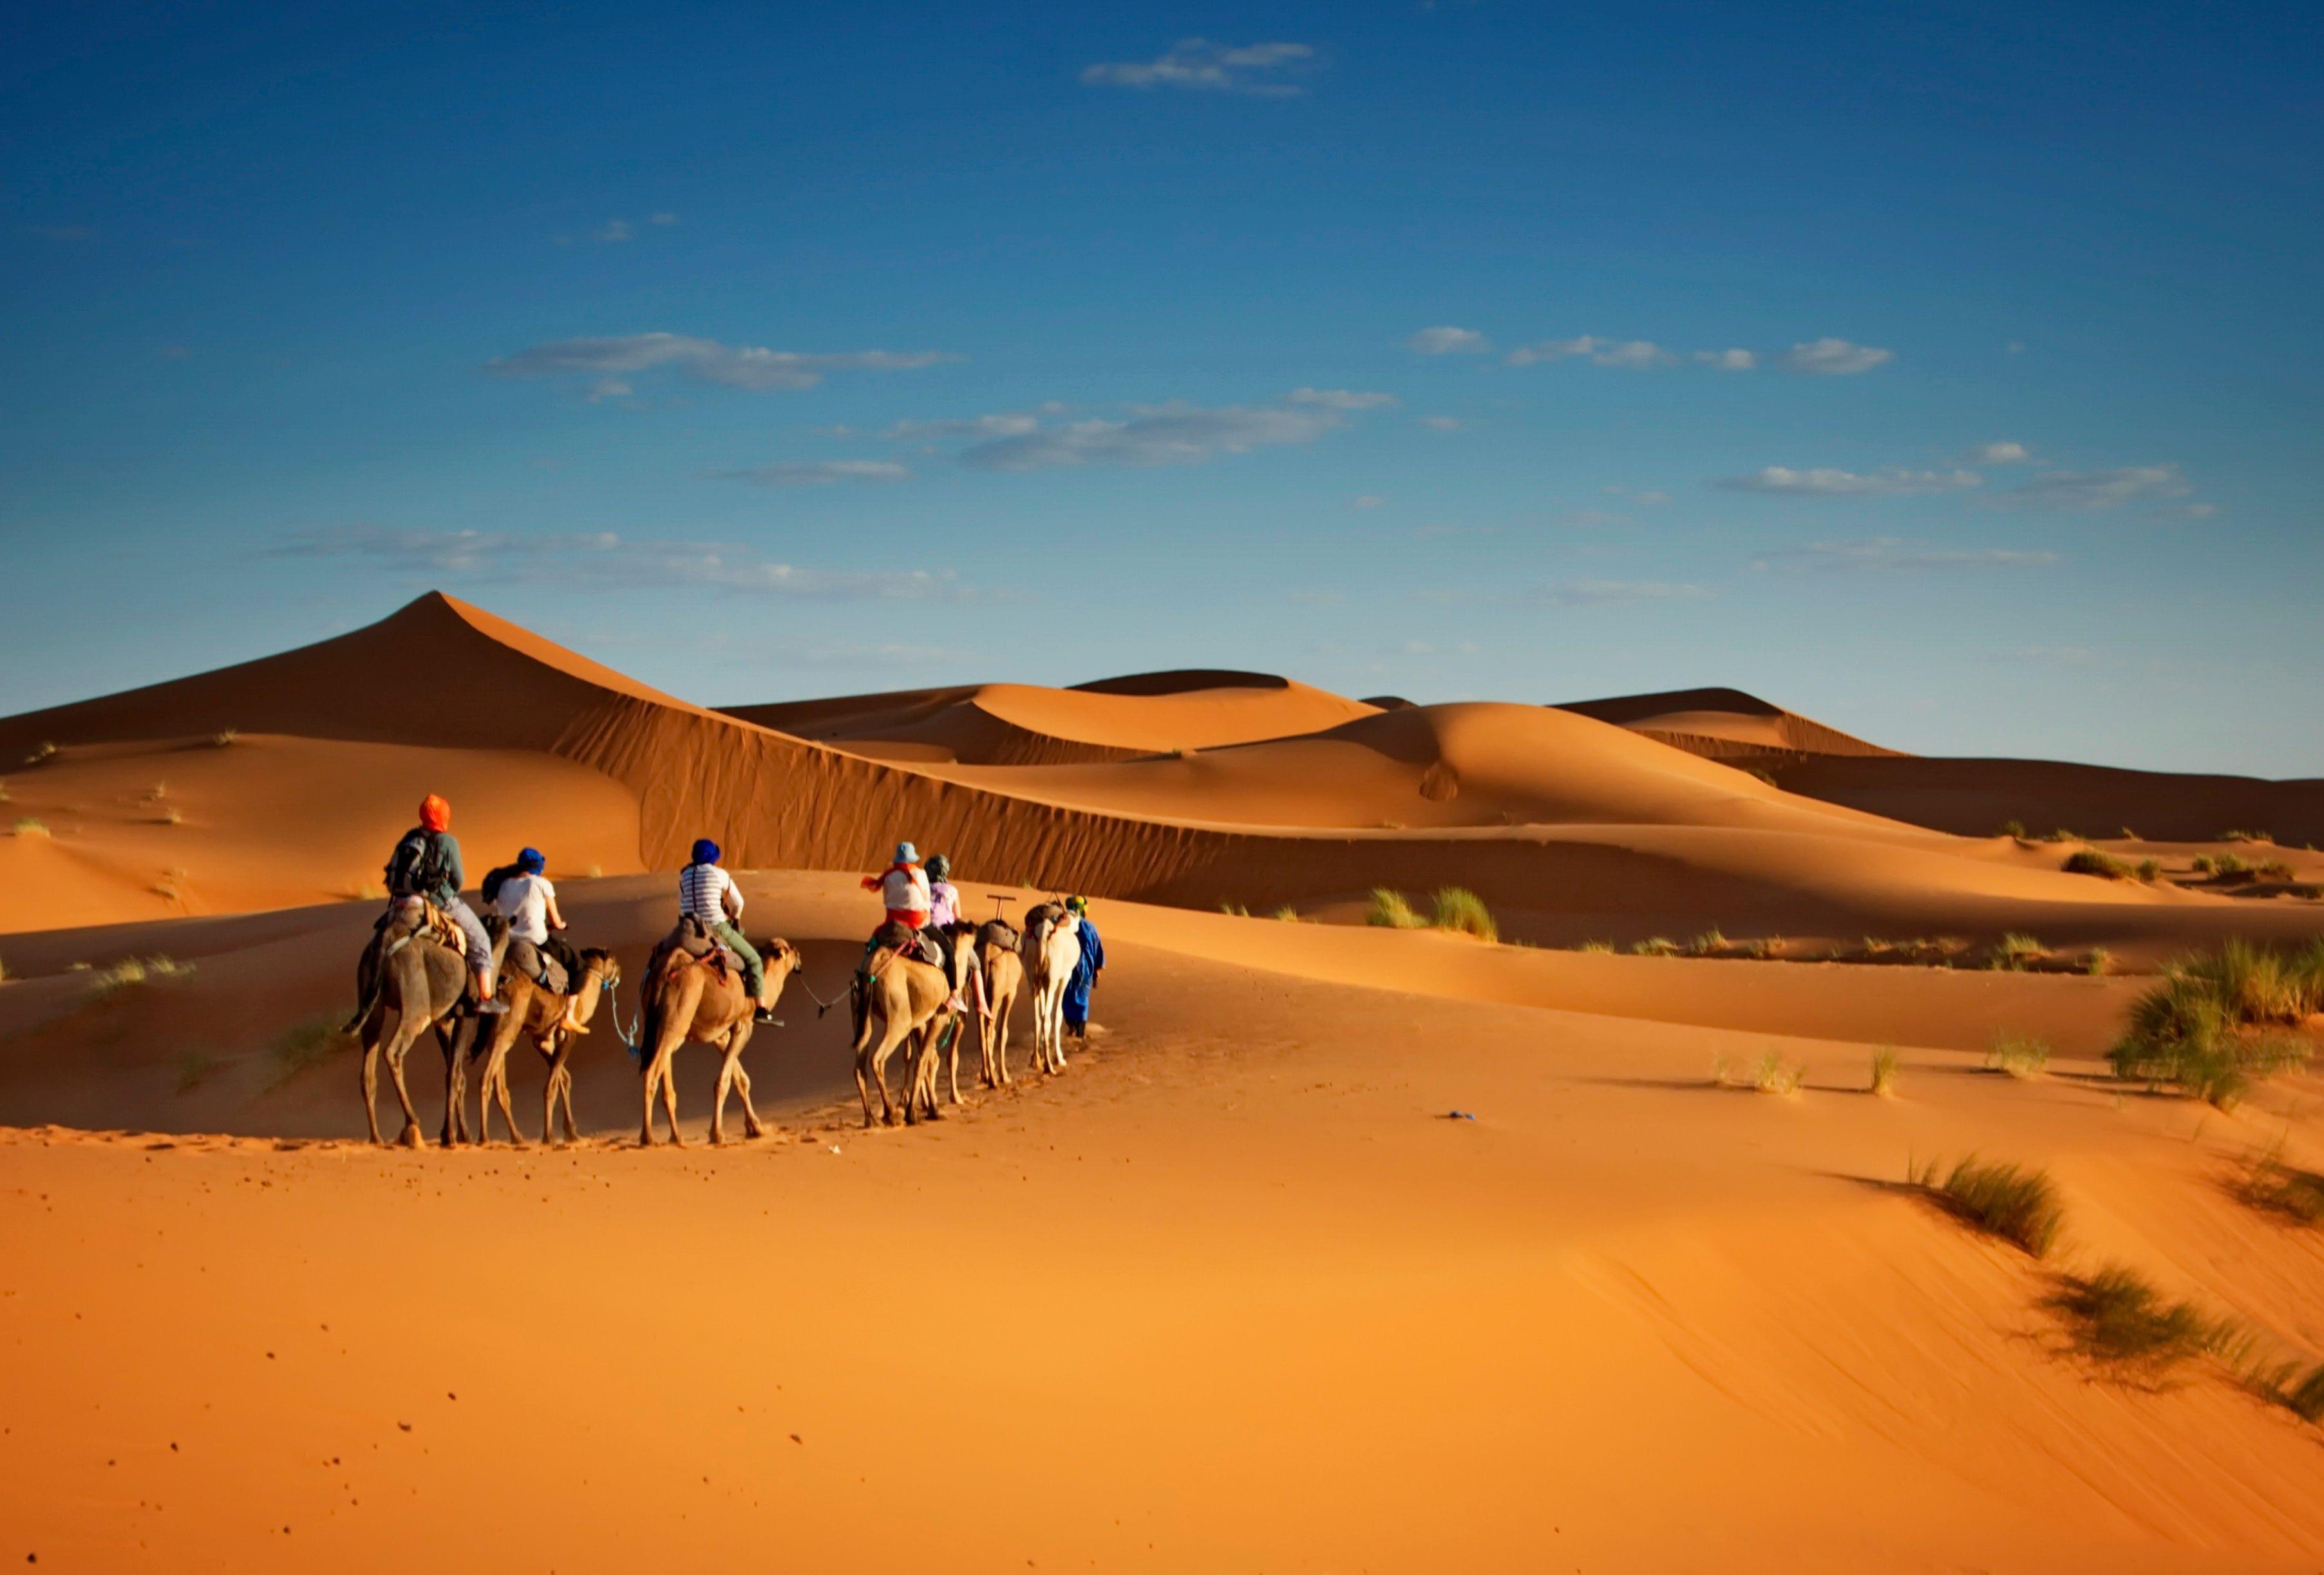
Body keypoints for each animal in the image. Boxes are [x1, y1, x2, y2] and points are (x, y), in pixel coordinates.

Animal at [341, 905, 487, 1152]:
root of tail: (385, 940)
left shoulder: (443, 1021)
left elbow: (455, 1074)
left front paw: (459, 1134)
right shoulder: (465, 1014)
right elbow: (455, 1073)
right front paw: (453, 1136)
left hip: (373, 1005)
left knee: (368, 1071)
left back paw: (376, 1138)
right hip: (416, 1005)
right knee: (393, 1052)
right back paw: (412, 1122)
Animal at [471, 952, 623, 1147]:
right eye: (613, 960)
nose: (619, 971)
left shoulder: (543, 1039)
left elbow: (563, 1078)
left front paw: (571, 1133)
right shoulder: (567, 1035)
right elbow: (551, 1086)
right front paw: (549, 1136)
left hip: (496, 1033)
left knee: (501, 1087)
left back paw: (516, 1137)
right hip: (509, 1023)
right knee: (486, 1078)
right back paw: (484, 1138)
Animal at [636, 934, 799, 1152]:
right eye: (788, 949)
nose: (798, 953)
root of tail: (668, 964)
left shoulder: (720, 1033)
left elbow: (741, 1079)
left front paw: (756, 1128)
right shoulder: (743, 1024)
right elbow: (723, 1081)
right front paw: (717, 1134)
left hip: (661, 1023)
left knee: (666, 1080)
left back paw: (677, 1137)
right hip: (678, 1015)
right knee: (652, 1072)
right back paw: (648, 1138)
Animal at [976, 920, 1022, 1091]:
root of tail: (987, 954)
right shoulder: (1010, 993)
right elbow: (1003, 1032)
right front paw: (1005, 1076)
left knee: (982, 1031)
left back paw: (987, 1076)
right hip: (996, 994)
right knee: (990, 1030)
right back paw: (993, 1080)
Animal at [1022, 905, 1082, 1077]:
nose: (1079, 924)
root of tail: (1044, 931)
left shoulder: (1040, 982)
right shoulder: (1065, 976)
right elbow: (1058, 1014)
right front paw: (1060, 1058)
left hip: (1032, 978)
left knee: (1037, 1018)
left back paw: (1036, 1060)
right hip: (1052, 977)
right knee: (1047, 1019)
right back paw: (1049, 1066)